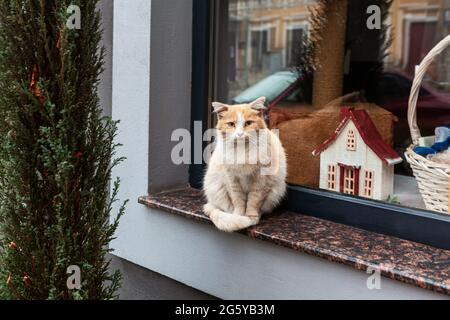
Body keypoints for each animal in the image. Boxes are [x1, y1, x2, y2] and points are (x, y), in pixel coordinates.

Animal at [203, 96, 286, 231]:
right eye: (231, 124)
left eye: (248, 123)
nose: (240, 134)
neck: (242, 151)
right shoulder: (231, 179)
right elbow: (237, 200)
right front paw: (239, 216)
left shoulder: (260, 180)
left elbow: (254, 200)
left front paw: (251, 217)